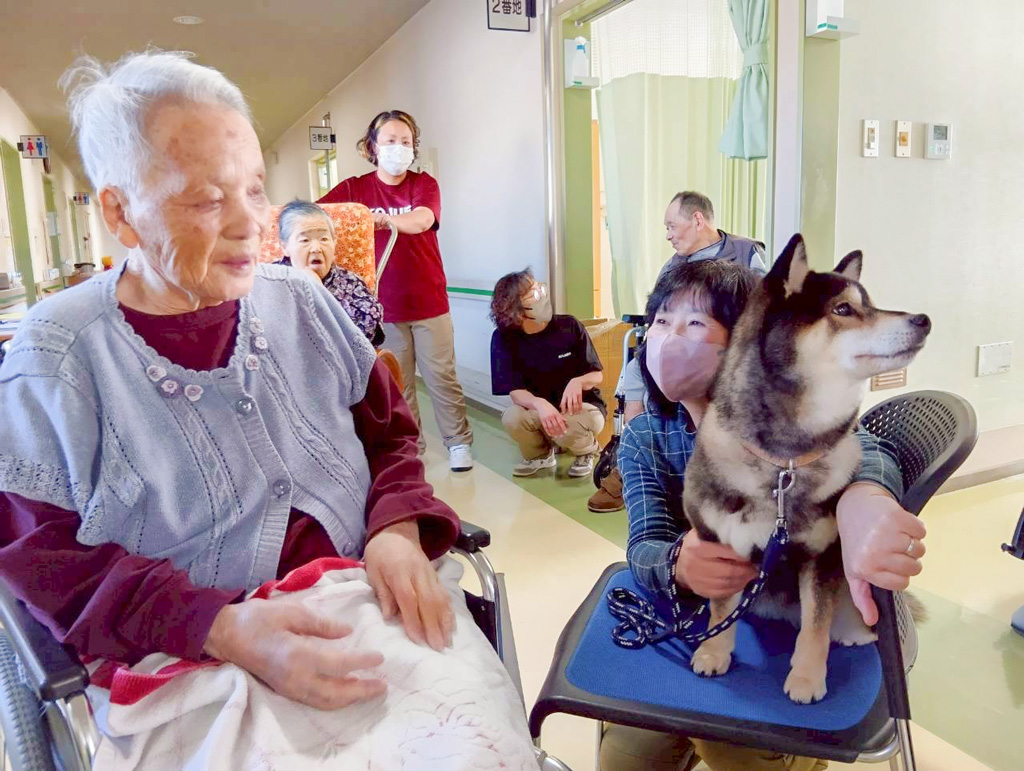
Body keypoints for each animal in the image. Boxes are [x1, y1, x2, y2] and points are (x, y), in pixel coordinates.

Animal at [681, 234, 930, 704]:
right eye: (843, 310)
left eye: (870, 304)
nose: (924, 319)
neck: (785, 464)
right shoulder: (721, 548)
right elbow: (721, 610)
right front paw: (713, 652)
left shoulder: (822, 556)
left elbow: (816, 625)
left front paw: (807, 678)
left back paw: (853, 629)